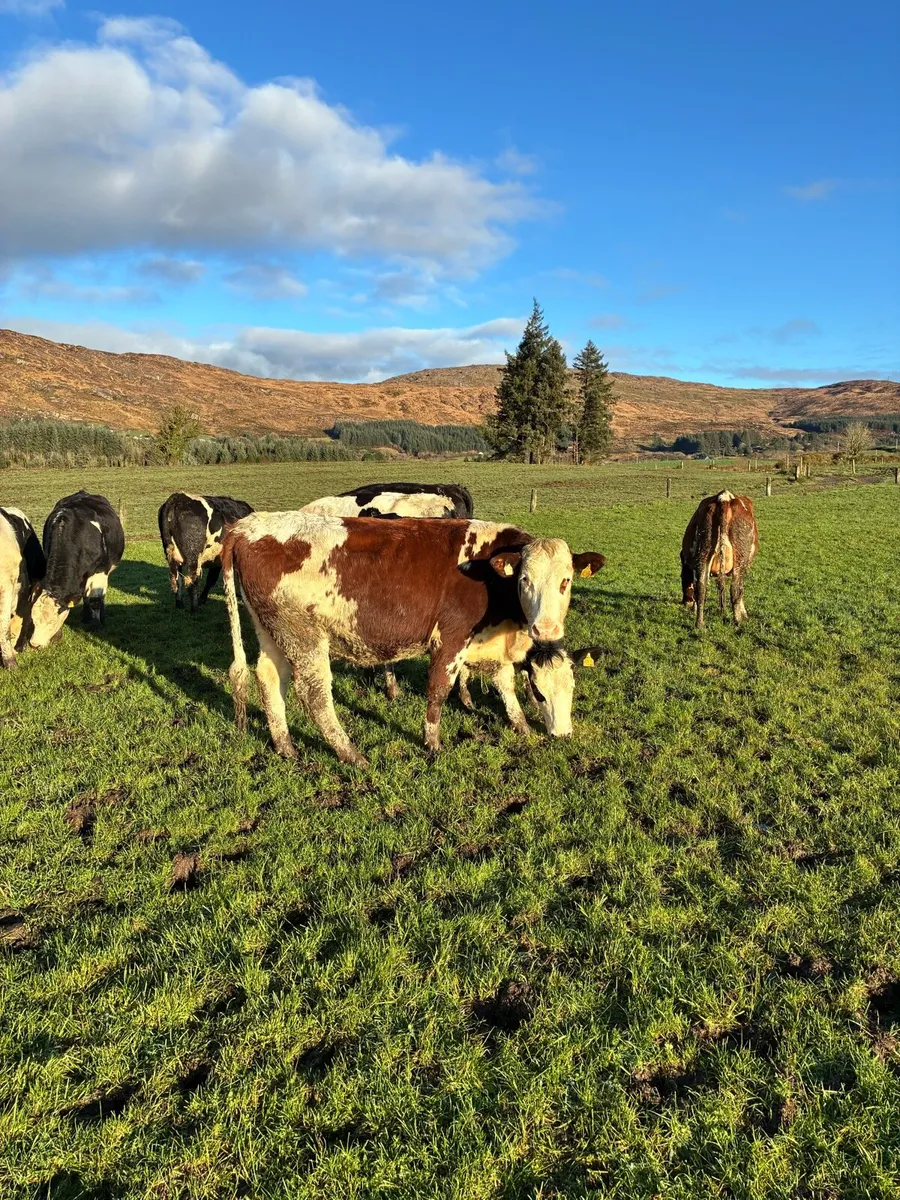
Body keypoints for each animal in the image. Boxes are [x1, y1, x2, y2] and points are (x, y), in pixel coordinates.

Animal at [30, 491, 125, 647]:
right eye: (33, 618)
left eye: (51, 622)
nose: (34, 644)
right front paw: (57, 636)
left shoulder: (100, 570)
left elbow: (95, 599)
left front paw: (96, 625)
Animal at [221, 513, 605, 766]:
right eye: (525, 579)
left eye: (566, 581)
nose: (546, 629)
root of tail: (248, 526)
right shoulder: (451, 637)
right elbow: (438, 690)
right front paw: (432, 743)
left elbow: (505, 684)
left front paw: (521, 725)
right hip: (304, 637)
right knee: (315, 696)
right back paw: (352, 755)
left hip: (273, 631)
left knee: (269, 679)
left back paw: (285, 746)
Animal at [681, 491, 758, 628]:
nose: (685, 602)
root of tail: (723, 498)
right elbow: (741, 590)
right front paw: (744, 613)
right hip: (740, 558)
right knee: (735, 589)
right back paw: (737, 621)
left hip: (703, 551)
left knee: (701, 588)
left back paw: (699, 624)